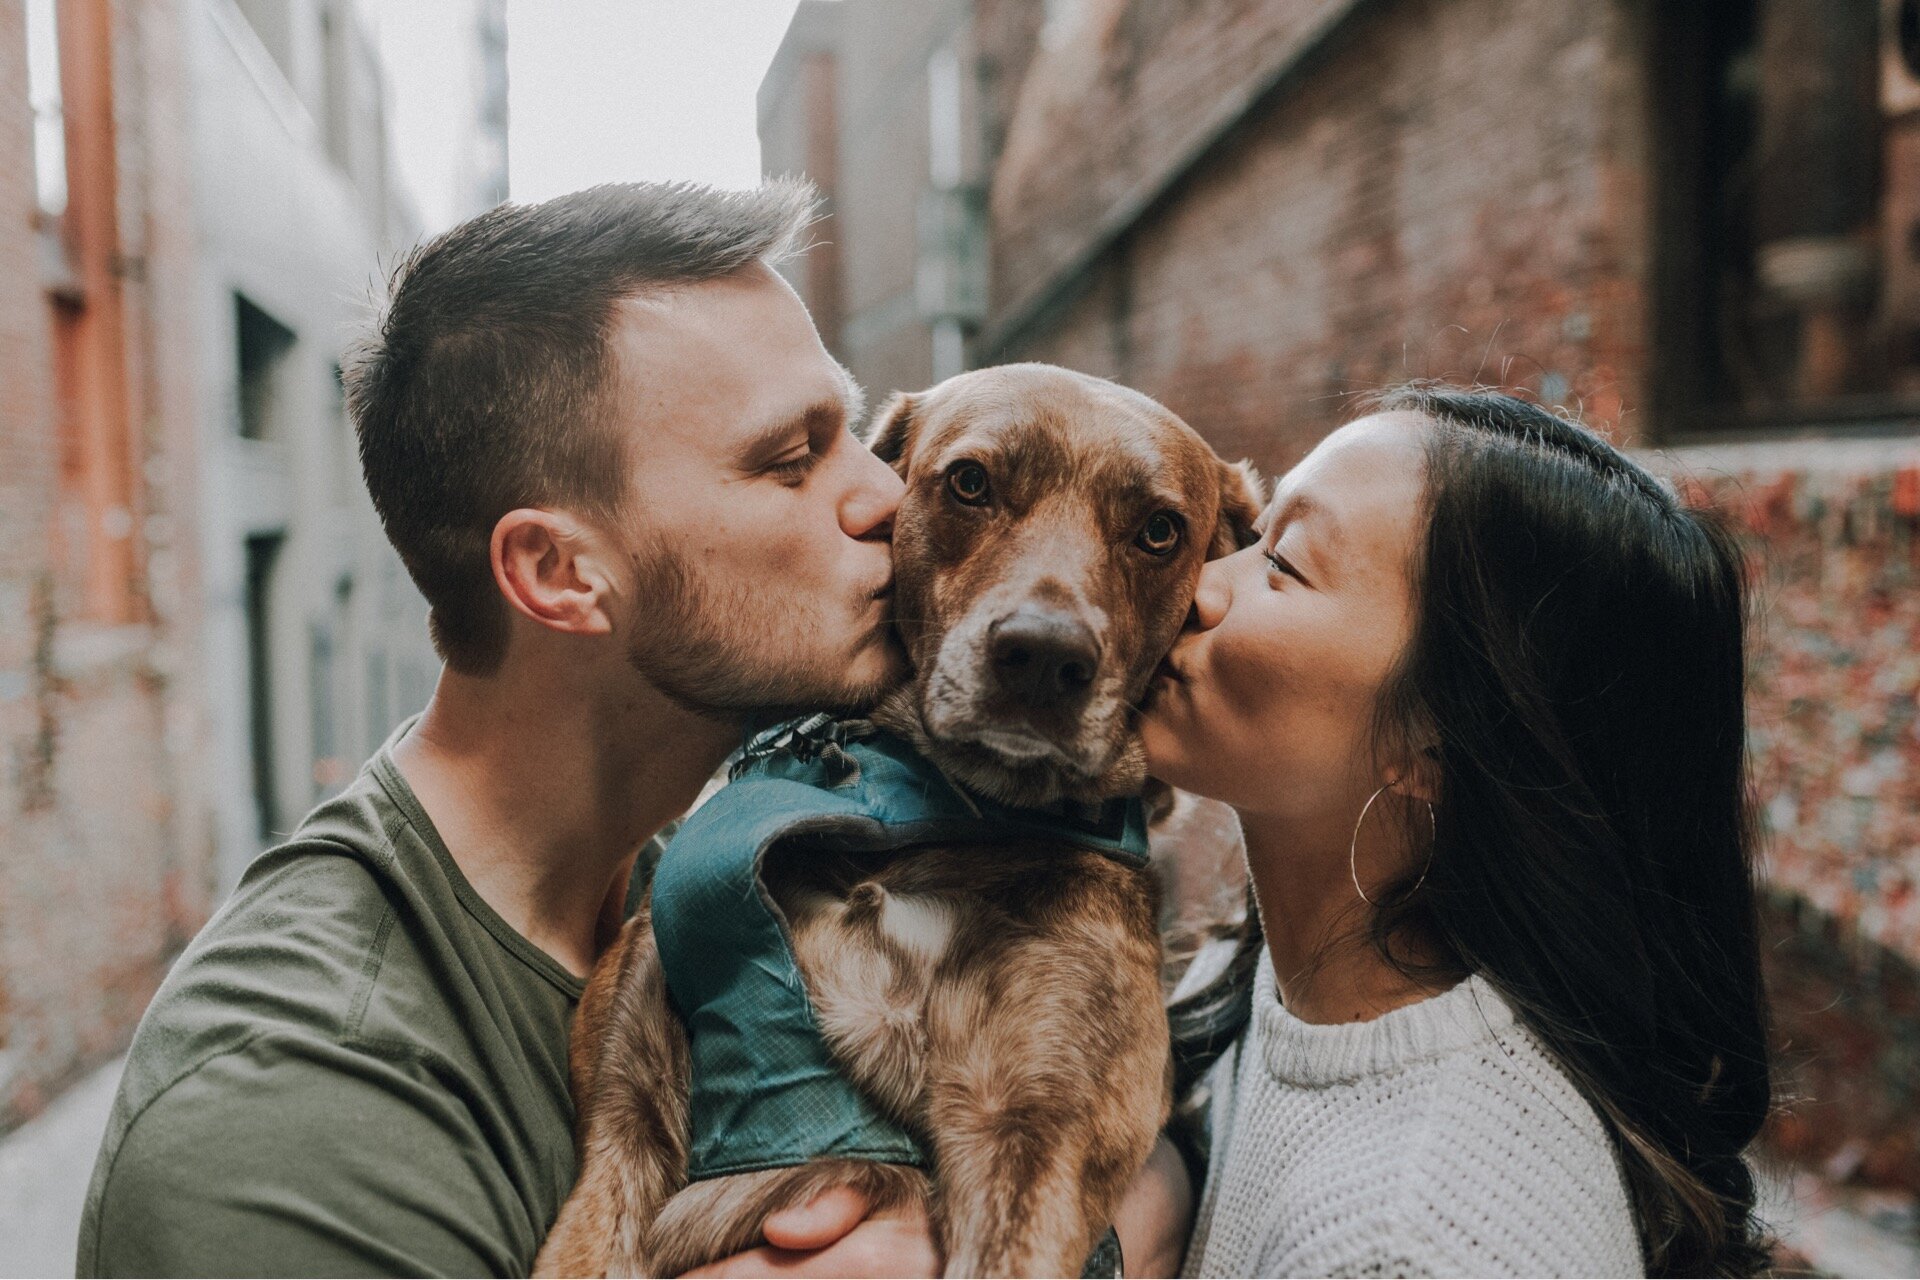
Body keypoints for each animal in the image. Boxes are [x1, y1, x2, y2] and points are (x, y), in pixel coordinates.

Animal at [537, 362, 1259, 1280]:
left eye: (1160, 531)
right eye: (970, 482)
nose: (1043, 656)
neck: (909, 815)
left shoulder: (1037, 1135)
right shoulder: (623, 1124)